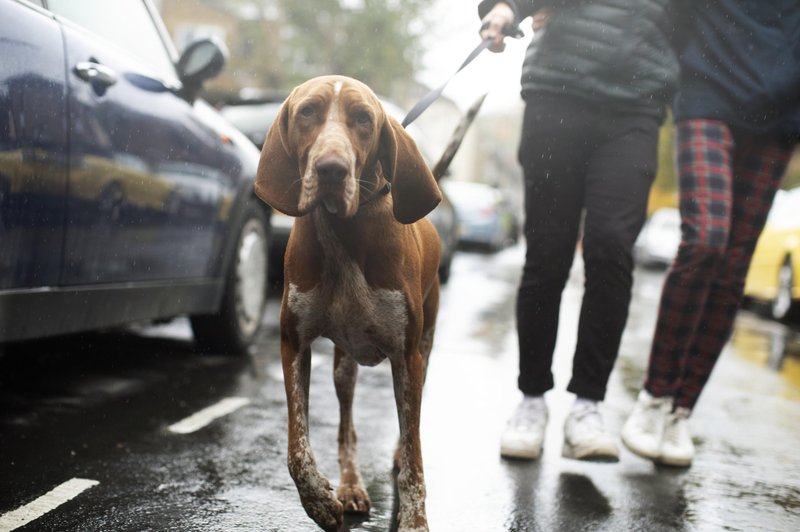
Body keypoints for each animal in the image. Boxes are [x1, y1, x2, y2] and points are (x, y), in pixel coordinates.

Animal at [255, 76, 440, 532]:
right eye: (307, 112)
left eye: (363, 118)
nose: (331, 170)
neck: (343, 230)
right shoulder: (293, 345)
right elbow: (297, 450)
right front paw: (320, 502)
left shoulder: (407, 357)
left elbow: (414, 455)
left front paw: (414, 520)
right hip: (343, 368)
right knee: (346, 430)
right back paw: (351, 485)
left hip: (423, 351)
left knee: (408, 429)